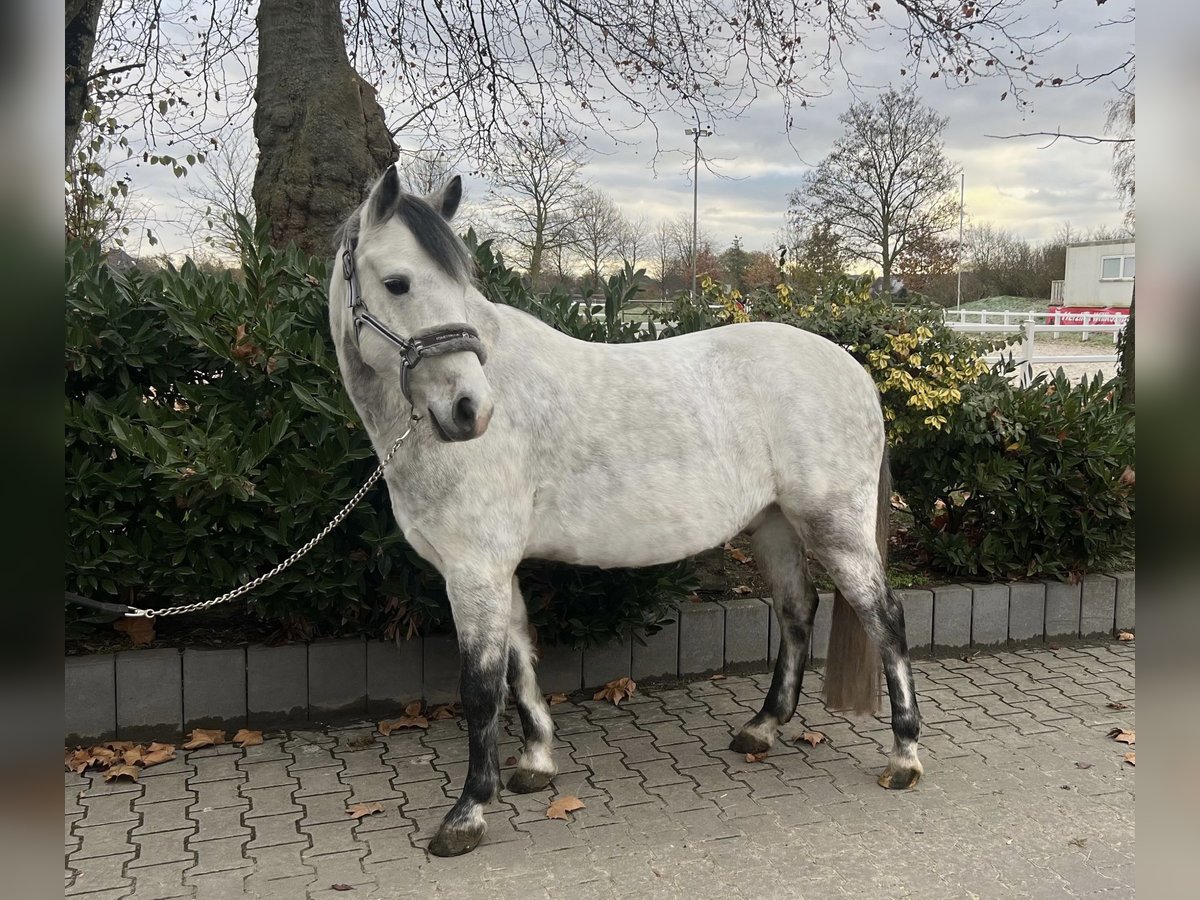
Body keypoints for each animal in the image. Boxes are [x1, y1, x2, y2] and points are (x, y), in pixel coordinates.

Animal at [328, 166, 923, 857]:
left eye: (464, 285)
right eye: (398, 282)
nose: (471, 409)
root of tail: (854, 370)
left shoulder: (475, 570)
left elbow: (480, 688)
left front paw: (468, 814)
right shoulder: (496, 569)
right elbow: (519, 659)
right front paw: (536, 764)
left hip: (834, 526)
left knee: (885, 617)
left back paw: (905, 756)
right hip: (774, 524)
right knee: (798, 612)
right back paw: (763, 728)